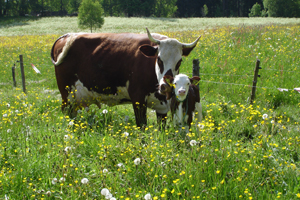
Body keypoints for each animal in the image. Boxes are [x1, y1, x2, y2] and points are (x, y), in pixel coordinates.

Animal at [51, 28, 202, 126]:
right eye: (159, 59)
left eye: (179, 62)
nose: (165, 86)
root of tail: (68, 35)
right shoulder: (138, 99)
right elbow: (142, 126)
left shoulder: (162, 107)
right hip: (67, 95)